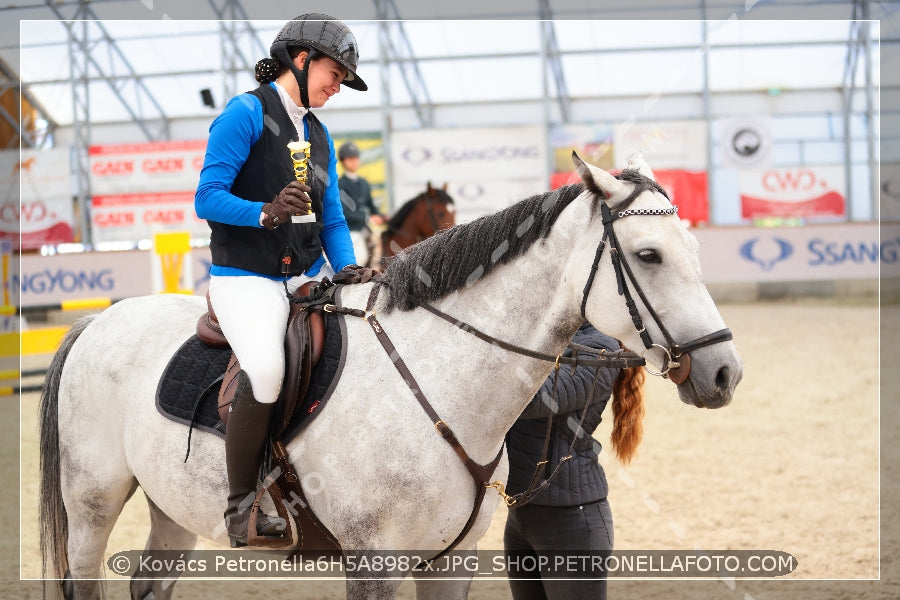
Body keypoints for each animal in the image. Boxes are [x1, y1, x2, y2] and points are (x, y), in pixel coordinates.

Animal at [40, 152, 740, 596]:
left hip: (171, 506)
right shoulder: (372, 561)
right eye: (648, 255)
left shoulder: (449, 562)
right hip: (93, 503)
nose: (724, 371)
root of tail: (98, 321)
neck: (439, 377)